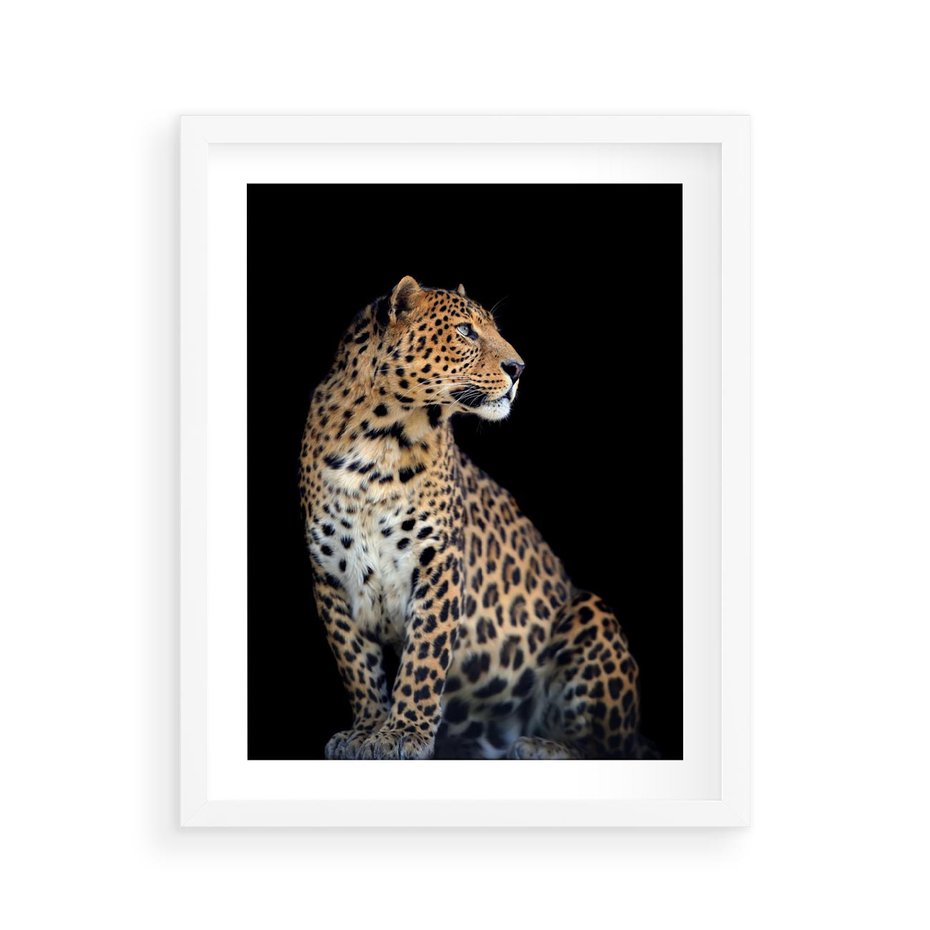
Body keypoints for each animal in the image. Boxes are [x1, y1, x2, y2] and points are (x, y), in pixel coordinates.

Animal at [300, 276, 649, 760]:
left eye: (493, 329)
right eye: (466, 331)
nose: (519, 368)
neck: (377, 441)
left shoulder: (439, 562)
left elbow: (424, 657)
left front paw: (402, 734)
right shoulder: (330, 574)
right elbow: (356, 664)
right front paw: (366, 730)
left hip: (590, 613)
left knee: (611, 745)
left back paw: (543, 746)